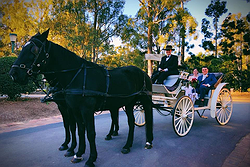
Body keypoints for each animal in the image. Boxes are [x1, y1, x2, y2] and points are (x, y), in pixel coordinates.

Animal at [9, 29, 152, 167]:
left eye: (34, 49)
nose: (13, 74)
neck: (75, 76)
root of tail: (143, 72)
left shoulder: (85, 110)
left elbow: (89, 132)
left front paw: (91, 158)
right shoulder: (73, 109)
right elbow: (78, 129)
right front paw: (77, 152)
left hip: (145, 101)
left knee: (147, 117)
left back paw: (148, 142)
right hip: (128, 103)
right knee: (130, 122)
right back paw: (125, 144)